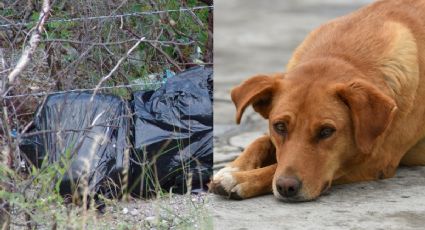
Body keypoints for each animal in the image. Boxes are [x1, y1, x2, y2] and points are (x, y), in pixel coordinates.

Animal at [210, 0, 425, 201]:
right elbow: (260, 141)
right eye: (279, 127)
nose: (286, 187)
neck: (340, 54)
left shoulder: (375, 161)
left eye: (327, 131)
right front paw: (233, 169)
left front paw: (242, 179)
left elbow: (274, 168)